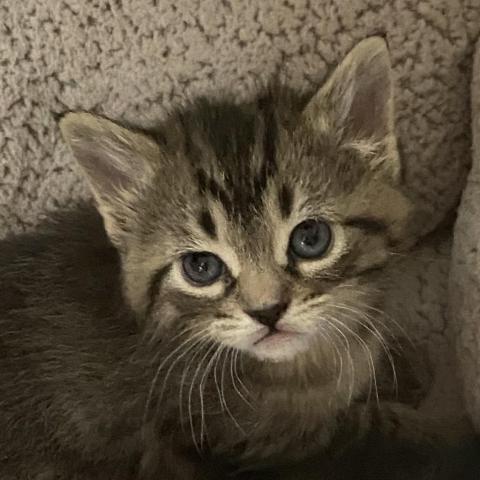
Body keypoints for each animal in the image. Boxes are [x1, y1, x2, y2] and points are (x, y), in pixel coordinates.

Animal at [0, 37, 472, 480]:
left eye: (311, 238)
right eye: (201, 268)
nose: (267, 311)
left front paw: (399, 360)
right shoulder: (263, 446)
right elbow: (385, 434)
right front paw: (451, 437)